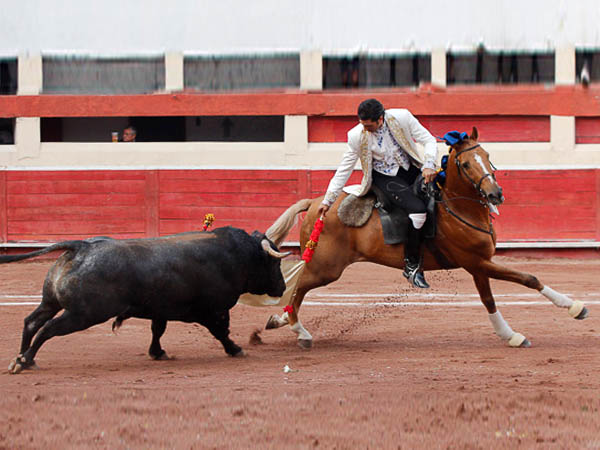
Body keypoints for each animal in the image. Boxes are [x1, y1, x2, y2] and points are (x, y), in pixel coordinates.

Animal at [1, 227, 288, 374]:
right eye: (274, 263)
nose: (283, 286)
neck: (238, 255)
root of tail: (82, 246)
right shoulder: (212, 310)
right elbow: (221, 332)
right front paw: (236, 349)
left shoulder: (160, 309)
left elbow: (157, 330)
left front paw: (157, 352)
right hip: (83, 314)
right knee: (48, 329)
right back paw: (24, 361)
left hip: (51, 302)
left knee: (31, 322)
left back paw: (22, 358)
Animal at [264, 126, 588, 348]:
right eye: (466, 164)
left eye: (487, 156)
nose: (496, 194)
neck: (459, 208)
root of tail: (317, 203)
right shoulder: (476, 262)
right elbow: (527, 278)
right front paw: (574, 307)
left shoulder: (478, 265)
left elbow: (489, 300)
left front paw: (510, 335)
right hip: (326, 267)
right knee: (298, 286)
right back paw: (299, 331)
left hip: (324, 266)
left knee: (297, 288)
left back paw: (281, 320)